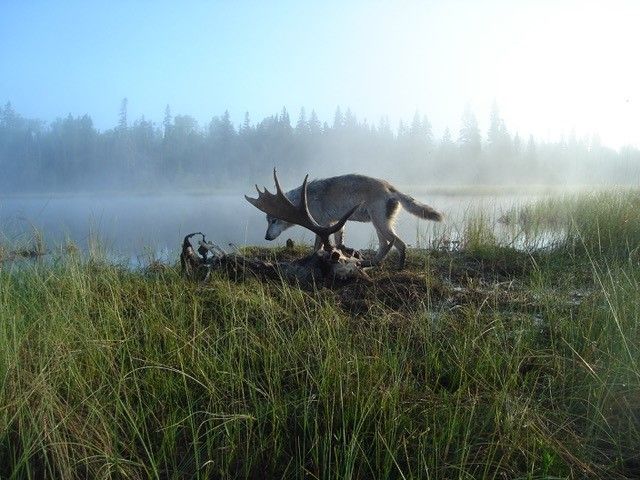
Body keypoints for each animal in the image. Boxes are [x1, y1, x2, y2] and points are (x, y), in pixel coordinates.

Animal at [262, 173, 442, 268]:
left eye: (274, 221)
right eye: (267, 220)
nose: (266, 237)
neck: (302, 201)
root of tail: (392, 188)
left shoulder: (321, 225)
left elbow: (317, 246)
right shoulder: (335, 223)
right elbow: (338, 243)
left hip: (381, 225)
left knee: (400, 245)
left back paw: (397, 268)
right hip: (378, 225)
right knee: (385, 245)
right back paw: (369, 263)